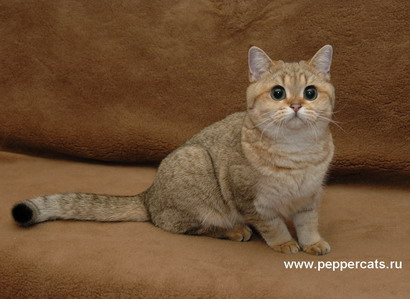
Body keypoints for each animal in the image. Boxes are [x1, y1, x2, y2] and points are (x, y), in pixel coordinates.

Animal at [11, 45, 334, 255]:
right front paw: (284, 242)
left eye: (310, 93)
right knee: (187, 226)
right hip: (195, 164)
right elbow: (274, 225)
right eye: (278, 92)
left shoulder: (310, 196)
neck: (297, 151)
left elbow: (307, 222)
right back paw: (234, 230)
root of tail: (148, 195)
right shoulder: (252, 201)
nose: (296, 105)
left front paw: (312, 242)